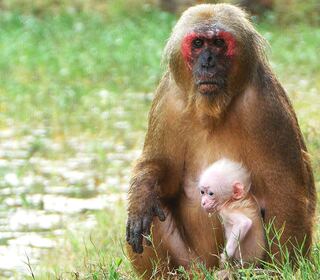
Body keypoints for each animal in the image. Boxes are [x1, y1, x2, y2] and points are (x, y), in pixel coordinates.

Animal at [125, 2, 316, 278]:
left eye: (217, 43)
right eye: (197, 44)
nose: (207, 62)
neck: (213, 109)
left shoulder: (264, 105)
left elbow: (284, 188)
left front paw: (284, 269)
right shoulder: (169, 99)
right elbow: (160, 172)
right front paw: (142, 196)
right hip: (191, 262)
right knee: (155, 209)